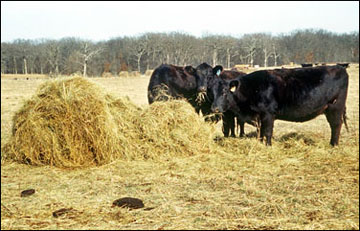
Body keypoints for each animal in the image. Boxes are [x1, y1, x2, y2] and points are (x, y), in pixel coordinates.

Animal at [211, 65, 348, 145]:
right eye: (211, 91)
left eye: (225, 92)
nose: (214, 108)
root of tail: (339, 68)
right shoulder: (259, 117)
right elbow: (261, 132)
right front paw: (260, 143)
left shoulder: (268, 114)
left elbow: (267, 131)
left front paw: (268, 145)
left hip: (335, 107)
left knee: (336, 125)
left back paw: (333, 144)